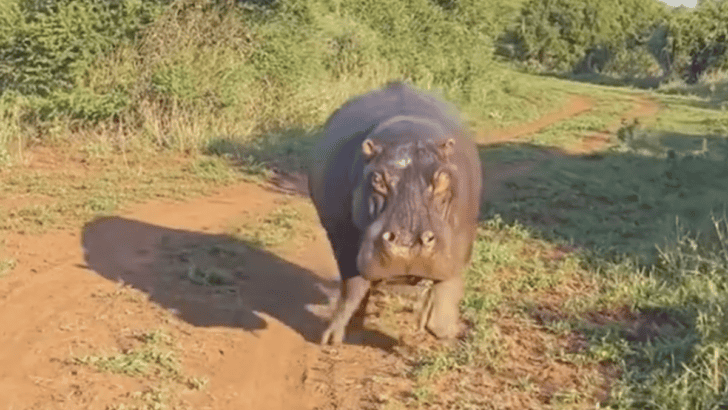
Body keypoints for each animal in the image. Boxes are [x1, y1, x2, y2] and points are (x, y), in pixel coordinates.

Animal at [308, 81, 482, 345]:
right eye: (377, 179)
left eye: (443, 178)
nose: (408, 244)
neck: (408, 136)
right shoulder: (342, 235)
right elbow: (353, 284)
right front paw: (331, 338)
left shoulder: (462, 238)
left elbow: (449, 284)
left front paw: (446, 331)